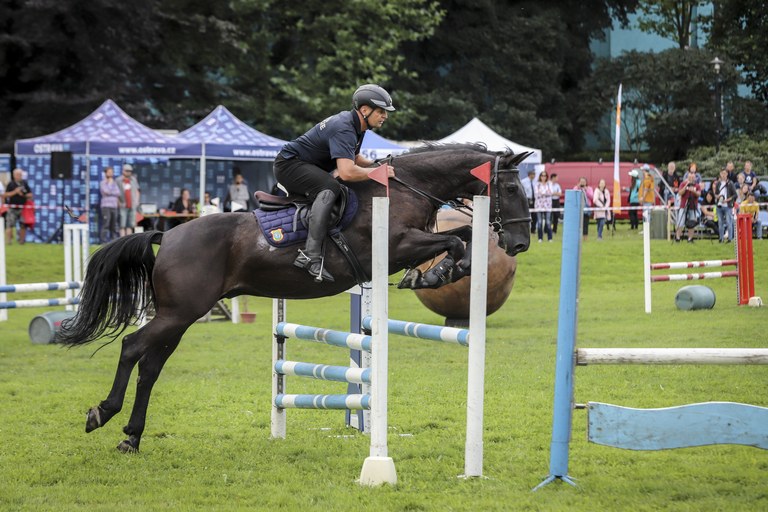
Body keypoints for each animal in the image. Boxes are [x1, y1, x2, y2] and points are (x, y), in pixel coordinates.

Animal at [57, 142, 532, 450]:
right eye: (510, 189)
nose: (520, 243)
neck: (405, 187)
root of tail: (166, 234)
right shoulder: (395, 246)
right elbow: (454, 239)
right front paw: (437, 273)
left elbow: (462, 234)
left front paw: (440, 272)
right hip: (178, 313)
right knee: (132, 347)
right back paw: (102, 414)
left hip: (181, 315)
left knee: (151, 366)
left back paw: (132, 437)